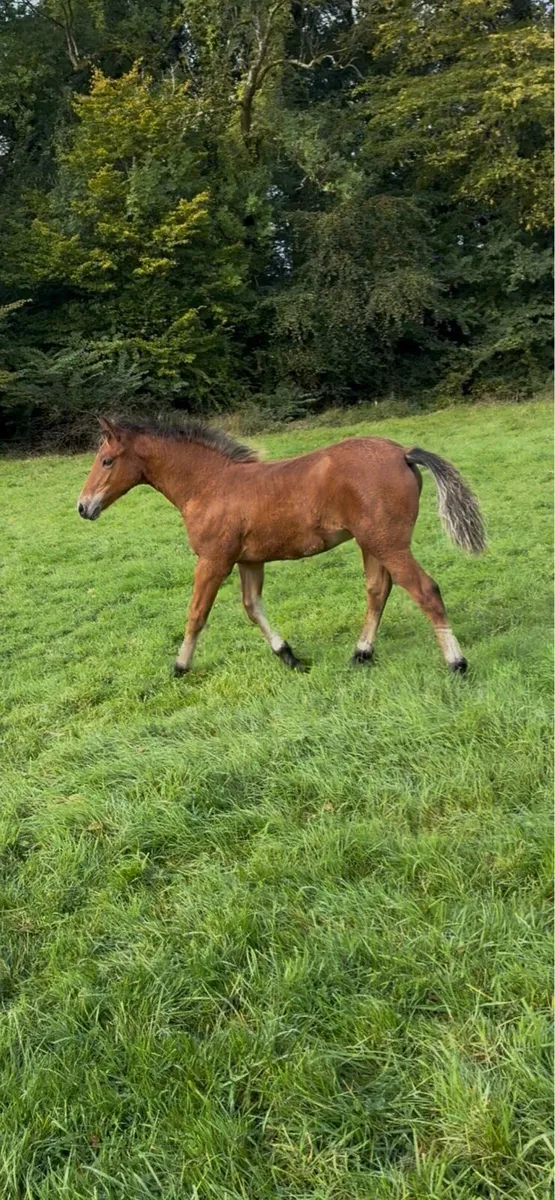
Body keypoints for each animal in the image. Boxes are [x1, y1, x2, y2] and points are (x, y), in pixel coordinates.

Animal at [77, 416, 485, 675]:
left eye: (107, 460)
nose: (83, 507)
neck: (209, 484)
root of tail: (403, 452)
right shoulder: (249, 561)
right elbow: (252, 607)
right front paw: (289, 656)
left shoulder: (213, 560)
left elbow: (196, 613)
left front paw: (179, 666)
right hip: (372, 543)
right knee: (377, 591)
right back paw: (361, 653)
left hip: (389, 544)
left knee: (424, 590)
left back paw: (456, 663)